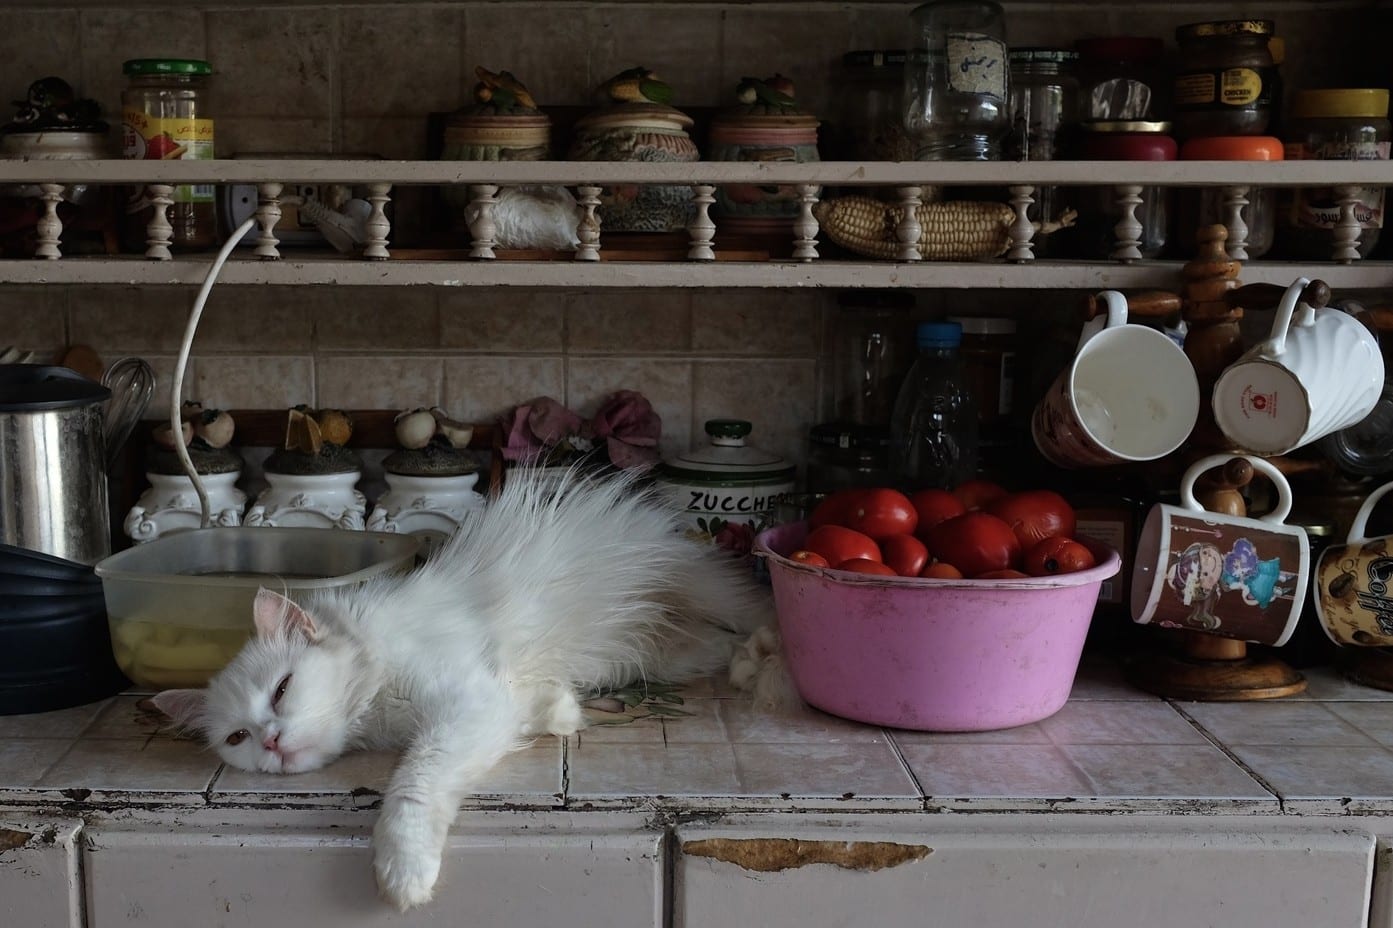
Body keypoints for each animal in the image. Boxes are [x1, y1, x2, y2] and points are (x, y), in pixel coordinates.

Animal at [153, 462, 791, 902]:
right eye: (237, 738)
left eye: (283, 690)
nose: (270, 742)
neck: (372, 679)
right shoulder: (488, 708)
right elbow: (529, 711)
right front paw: (562, 712)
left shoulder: (461, 708)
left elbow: (414, 783)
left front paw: (403, 870)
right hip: (669, 658)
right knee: (714, 647)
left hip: (712, 592)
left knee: (756, 611)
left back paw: (773, 653)